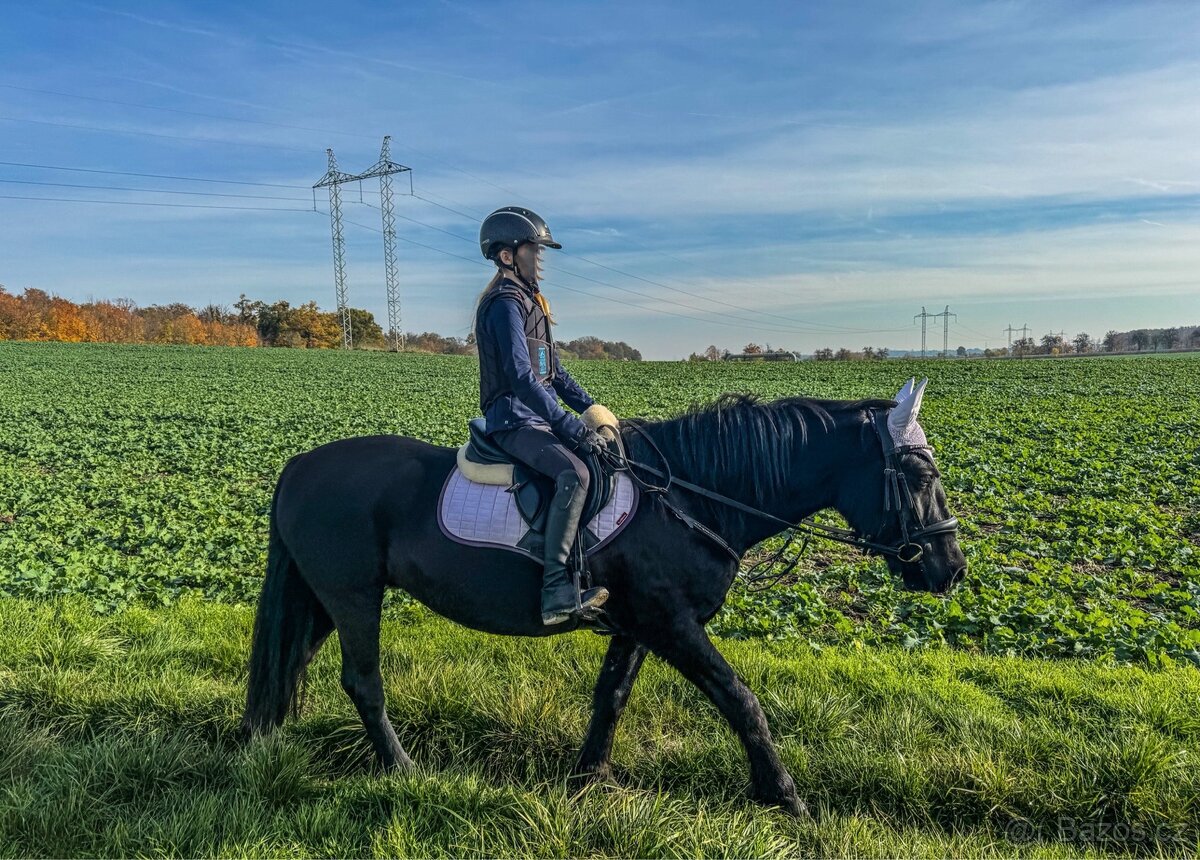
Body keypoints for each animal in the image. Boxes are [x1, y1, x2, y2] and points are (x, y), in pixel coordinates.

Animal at [242, 378, 966, 817]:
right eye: (915, 472)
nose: (952, 569)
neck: (694, 497)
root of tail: (299, 465)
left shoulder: (637, 622)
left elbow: (610, 697)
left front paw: (588, 780)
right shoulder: (671, 622)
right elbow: (742, 701)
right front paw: (785, 797)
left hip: (321, 597)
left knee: (292, 665)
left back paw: (263, 745)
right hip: (353, 594)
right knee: (363, 681)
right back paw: (403, 771)